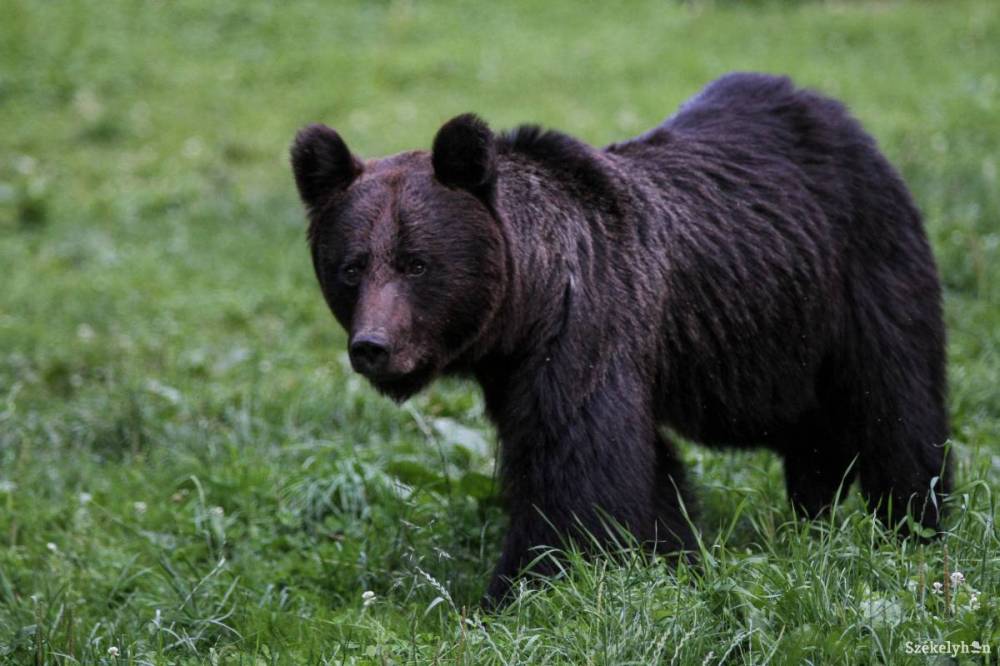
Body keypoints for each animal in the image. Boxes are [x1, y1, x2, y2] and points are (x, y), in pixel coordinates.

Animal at [292, 71, 952, 600]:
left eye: (416, 263)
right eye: (350, 267)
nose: (373, 347)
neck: (523, 307)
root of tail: (834, 114)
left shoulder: (584, 331)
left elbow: (577, 479)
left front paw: (517, 590)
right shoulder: (514, 371)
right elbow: (640, 478)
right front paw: (672, 555)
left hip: (861, 273)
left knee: (895, 405)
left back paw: (912, 524)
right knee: (813, 427)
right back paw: (815, 513)